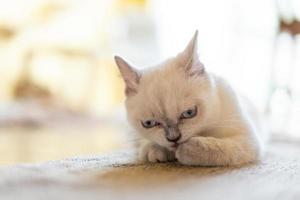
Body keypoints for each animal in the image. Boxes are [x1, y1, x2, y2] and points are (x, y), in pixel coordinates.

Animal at [113, 30, 264, 166]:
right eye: (149, 123)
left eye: (189, 113)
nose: (173, 138)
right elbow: (146, 145)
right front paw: (157, 150)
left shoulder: (247, 139)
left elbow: (217, 147)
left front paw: (185, 149)